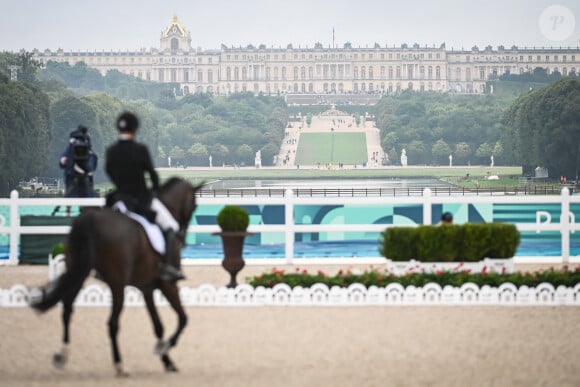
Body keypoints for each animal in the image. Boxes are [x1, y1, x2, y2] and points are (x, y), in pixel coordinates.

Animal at [28, 178, 204, 376]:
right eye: (194, 205)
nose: (183, 238)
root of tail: (91, 221)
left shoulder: (147, 288)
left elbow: (158, 326)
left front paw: (167, 361)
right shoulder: (168, 284)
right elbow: (183, 318)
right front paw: (165, 348)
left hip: (79, 274)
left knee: (67, 311)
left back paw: (62, 355)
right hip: (117, 284)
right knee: (112, 323)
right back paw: (119, 365)